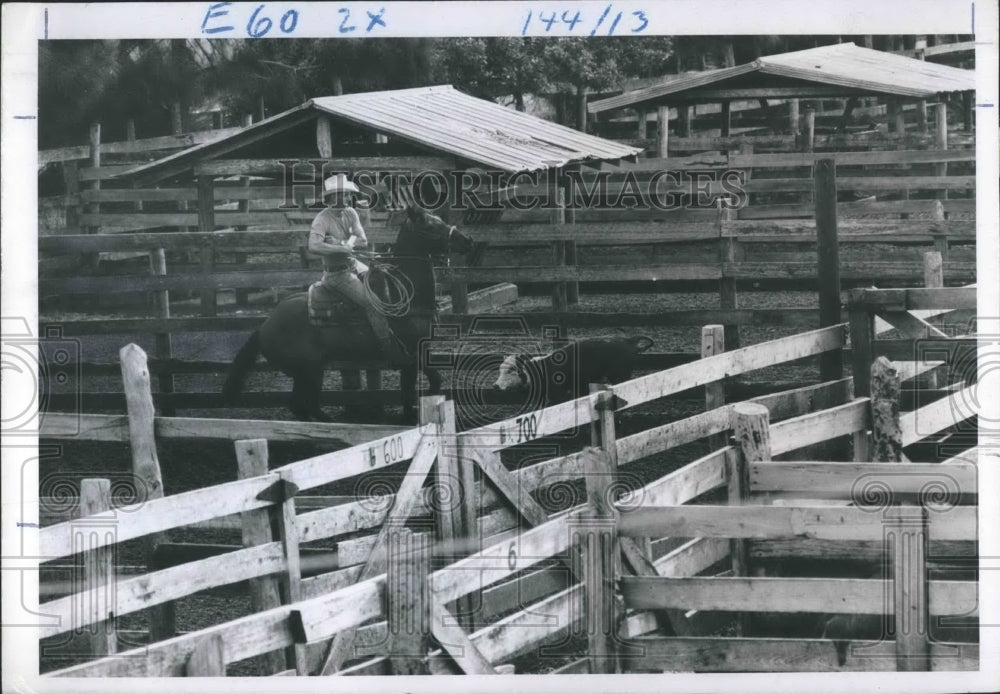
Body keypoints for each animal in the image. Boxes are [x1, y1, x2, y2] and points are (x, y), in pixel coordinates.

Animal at [224, 207, 480, 424]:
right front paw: (411, 415)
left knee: (304, 406)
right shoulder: (410, 355)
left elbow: (426, 383)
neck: (406, 296)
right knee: (301, 405)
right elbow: (415, 389)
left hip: (309, 373)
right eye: (431, 226)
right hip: (309, 371)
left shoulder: (419, 353)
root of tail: (264, 325)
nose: (468, 241)